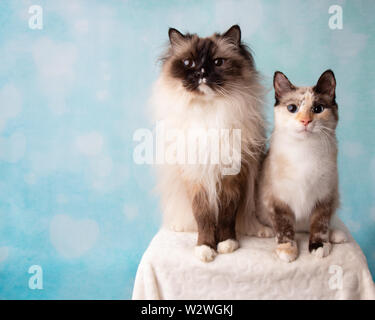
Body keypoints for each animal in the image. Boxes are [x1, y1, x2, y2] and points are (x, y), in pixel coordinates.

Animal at [258, 70, 348, 262]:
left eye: (318, 109)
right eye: (292, 108)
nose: (305, 121)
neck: (305, 151)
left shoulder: (325, 198)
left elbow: (320, 226)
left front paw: (319, 247)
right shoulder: (279, 201)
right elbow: (285, 229)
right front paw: (287, 250)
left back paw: (337, 236)